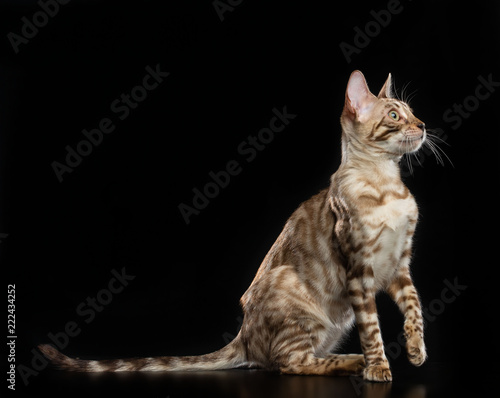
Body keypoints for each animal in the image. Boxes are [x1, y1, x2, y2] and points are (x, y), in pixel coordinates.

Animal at [40, 70, 430, 382]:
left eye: (413, 112)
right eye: (395, 115)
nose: (423, 125)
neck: (387, 185)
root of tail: (242, 336)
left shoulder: (400, 266)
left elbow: (415, 310)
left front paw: (416, 352)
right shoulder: (359, 270)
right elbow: (372, 328)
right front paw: (379, 367)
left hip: (334, 321)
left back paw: (352, 359)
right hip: (297, 297)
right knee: (287, 363)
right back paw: (355, 362)